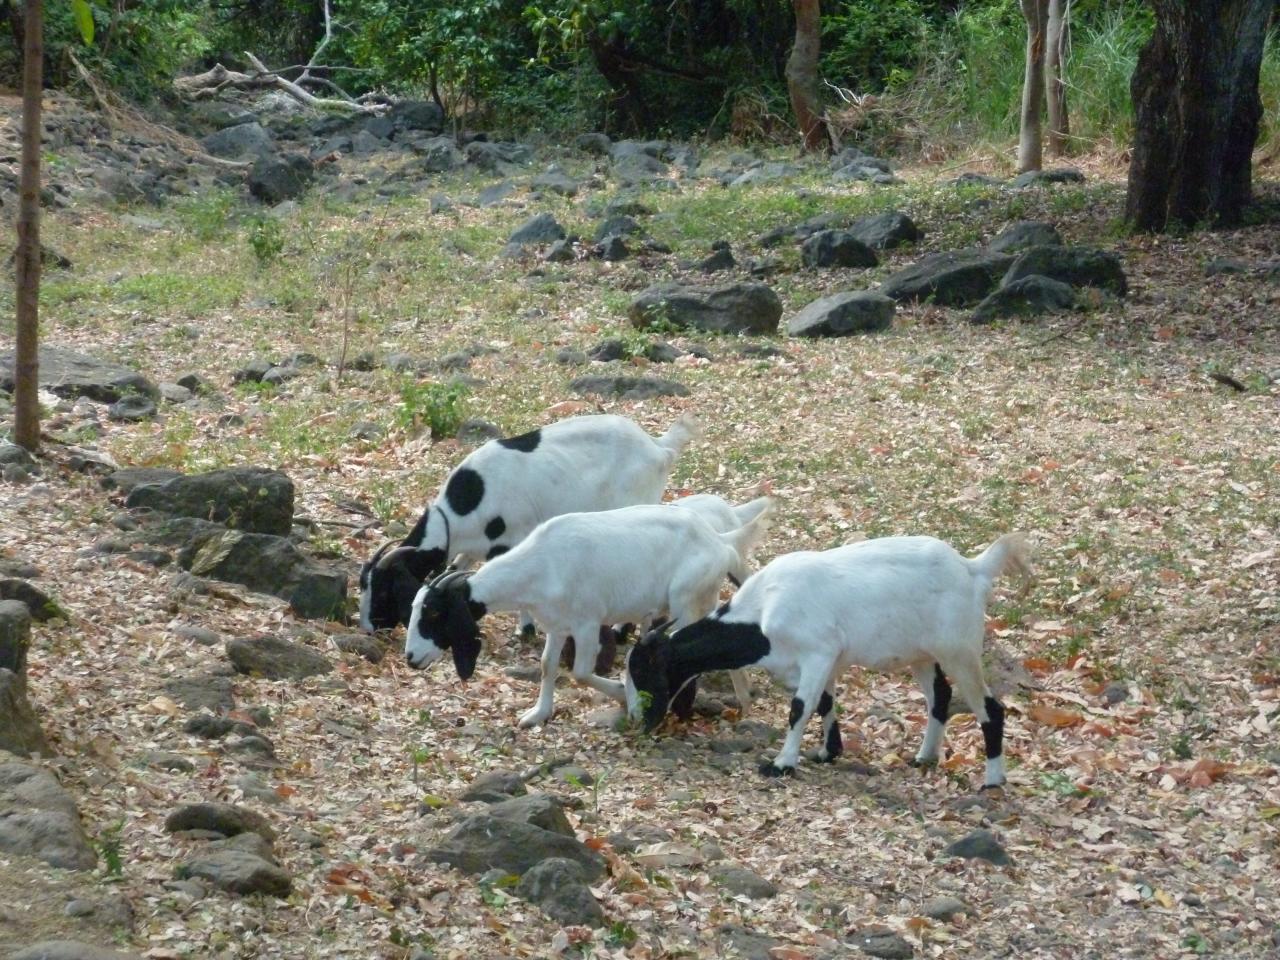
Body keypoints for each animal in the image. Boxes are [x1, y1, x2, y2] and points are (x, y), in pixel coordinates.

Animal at [360, 412, 701, 632]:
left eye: (384, 591)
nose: (367, 626)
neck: (467, 503)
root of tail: (659, 447)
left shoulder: (511, 538)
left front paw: (524, 629)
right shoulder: (472, 547)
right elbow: (455, 570)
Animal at [407, 504, 768, 727]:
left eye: (434, 612)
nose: (411, 658)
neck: (541, 564)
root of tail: (720, 542)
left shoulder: (587, 623)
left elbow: (580, 673)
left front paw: (624, 694)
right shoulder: (556, 626)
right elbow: (547, 665)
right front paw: (537, 715)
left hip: (684, 600)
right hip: (702, 598)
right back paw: (745, 702)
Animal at [624, 535, 1034, 788]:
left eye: (645, 673)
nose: (642, 723)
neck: (763, 611)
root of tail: (973, 569)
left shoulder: (819, 652)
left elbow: (799, 708)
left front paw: (782, 764)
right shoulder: (820, 663)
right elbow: (823, 703)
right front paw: (827, 751)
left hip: (959, 650)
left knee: (990, 708)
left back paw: (992, 780)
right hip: (922, 654)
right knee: (941, 697)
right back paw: (925, 757)